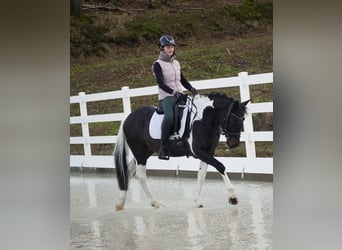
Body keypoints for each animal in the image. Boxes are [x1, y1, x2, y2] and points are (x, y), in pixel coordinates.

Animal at [113, 92, 250, 211]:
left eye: (243, 119)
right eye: (234, 119)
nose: (234, 143)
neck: (202, 120)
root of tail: (129, 118)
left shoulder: (208, 152)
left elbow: (202, 175)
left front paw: (197, 201)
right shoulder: (198, 151)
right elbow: (220, 166)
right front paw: (232, 197)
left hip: (146, 152)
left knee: (129, 172)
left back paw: (121, 203)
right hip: (139, 152)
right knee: (140, 176)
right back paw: (154, 203)